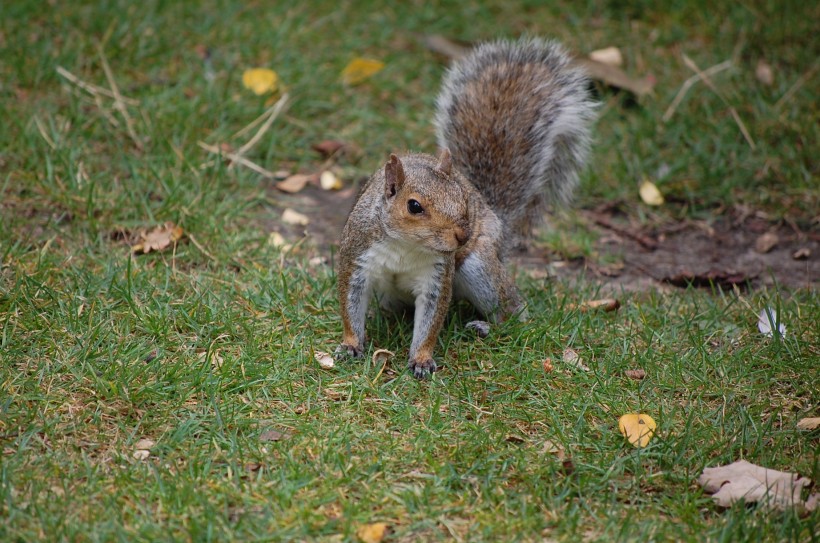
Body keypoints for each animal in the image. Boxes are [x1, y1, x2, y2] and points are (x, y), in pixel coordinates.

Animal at [334, 38, 596, 380]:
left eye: (463, 200)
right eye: (414, 206)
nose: (462, 236)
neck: (405, 245)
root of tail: (500, 224)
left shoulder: (437, 276)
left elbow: (431, 320)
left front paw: (421, 359)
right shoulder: (357, 258)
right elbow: (350, 305)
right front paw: (351, 344)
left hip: (479, 266)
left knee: (513, 312)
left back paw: (486, 326)